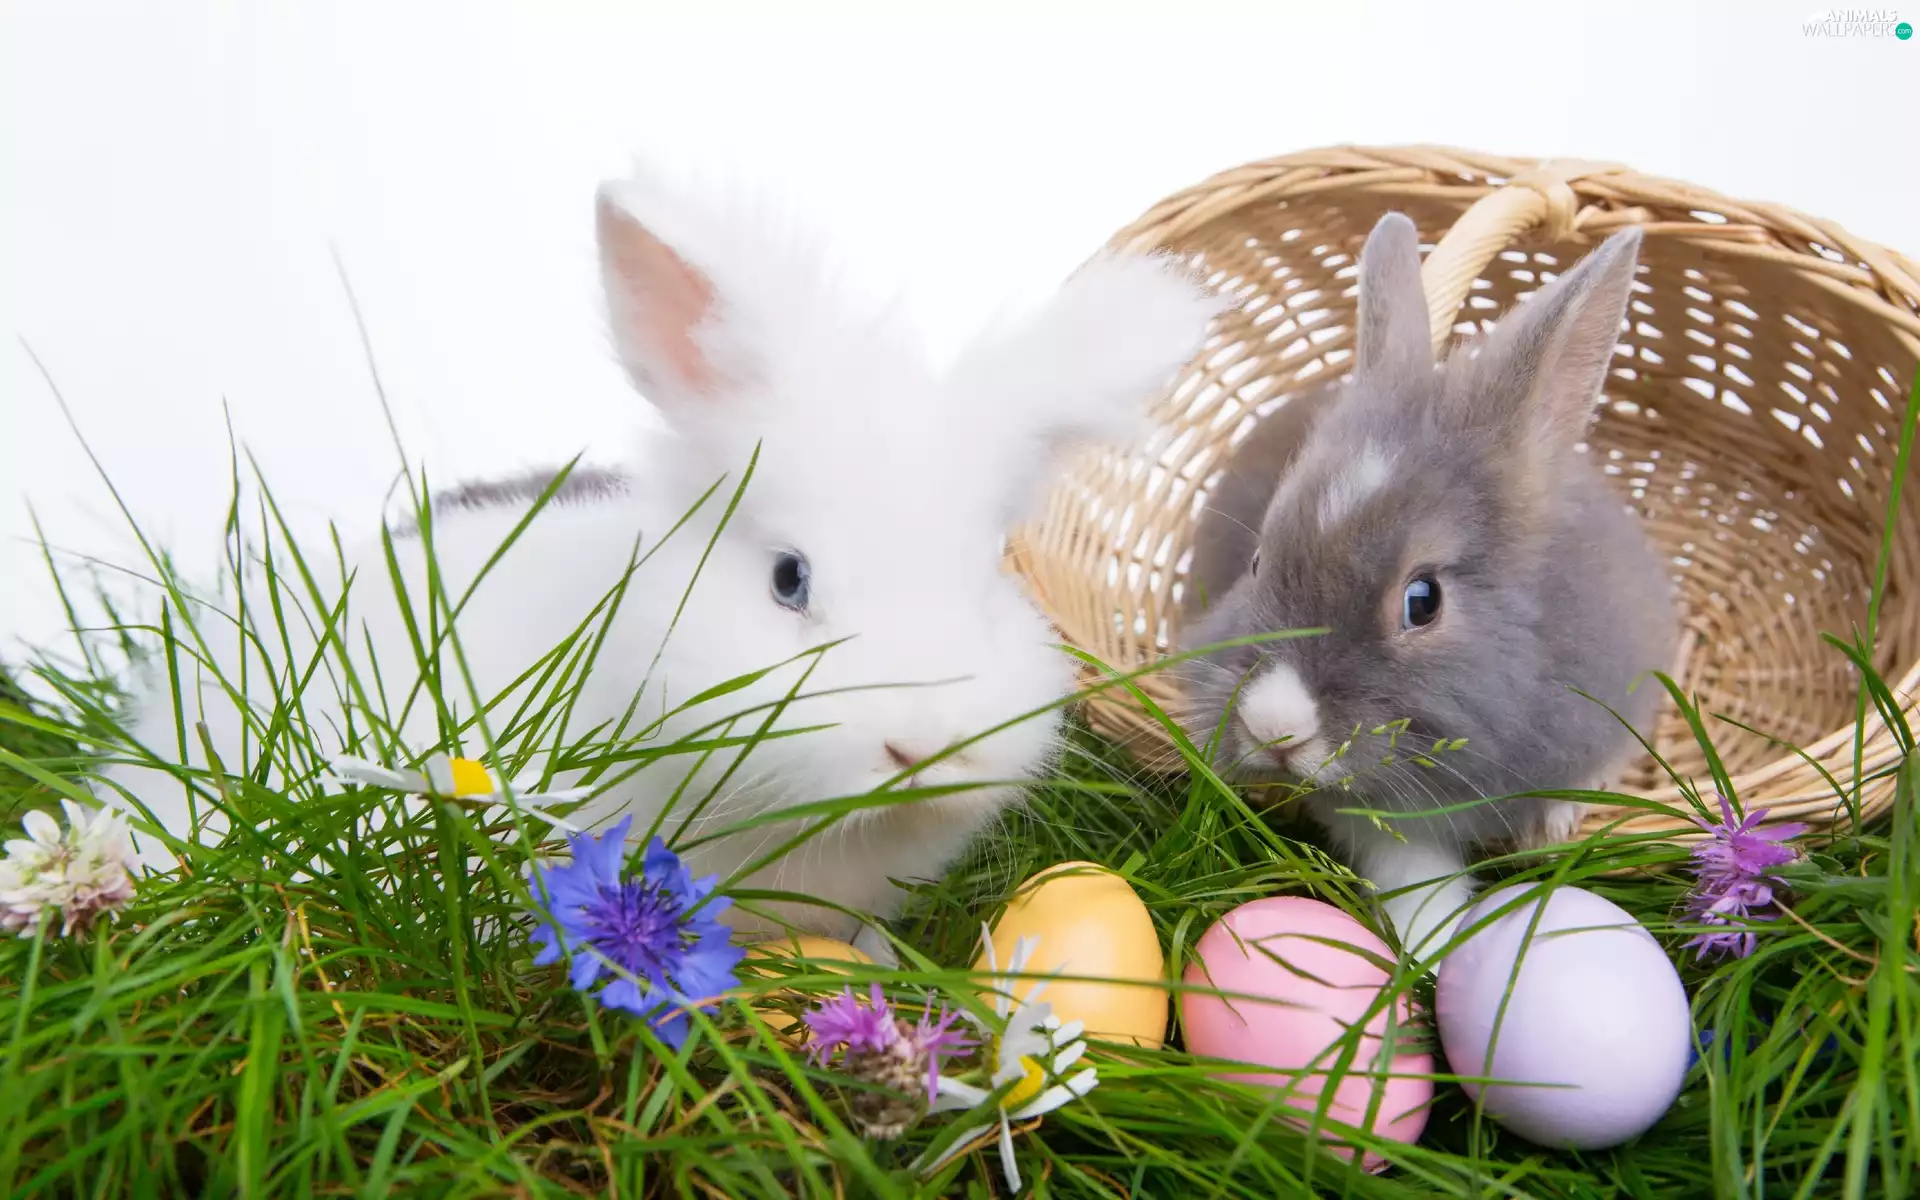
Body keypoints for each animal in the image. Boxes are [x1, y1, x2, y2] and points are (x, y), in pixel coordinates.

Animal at [1178, 211, 1677, 961]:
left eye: (1423, 601)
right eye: (1260, 562)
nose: (1273, 728)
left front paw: (1552, 827)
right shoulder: (1381, 816)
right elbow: (1411, 872)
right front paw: (1431, 948)